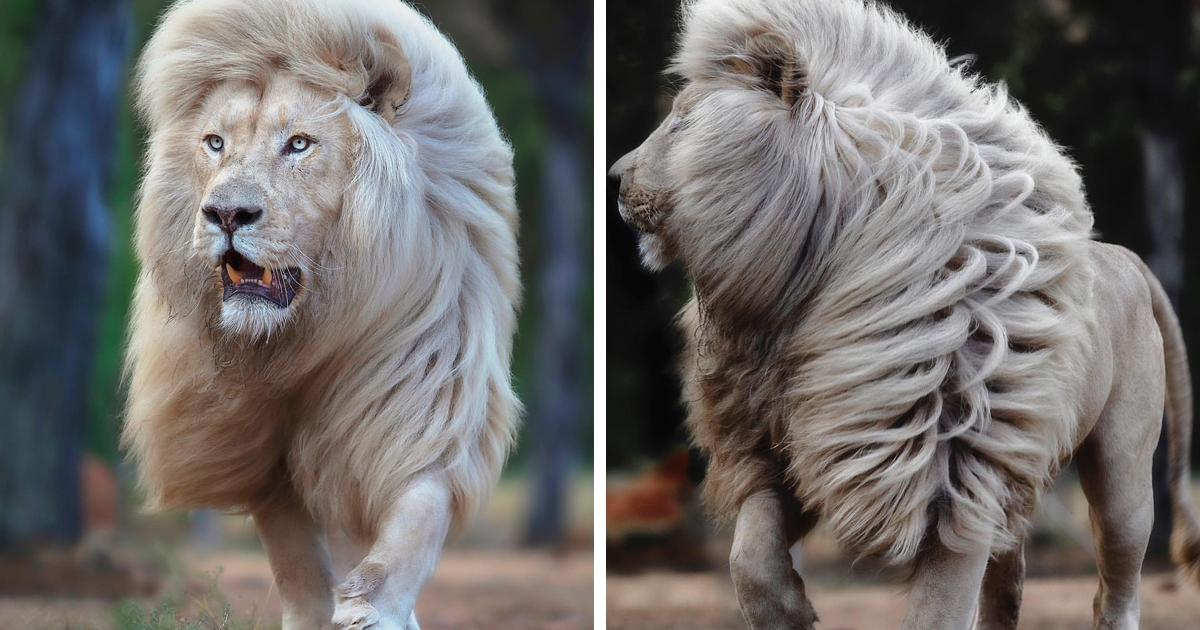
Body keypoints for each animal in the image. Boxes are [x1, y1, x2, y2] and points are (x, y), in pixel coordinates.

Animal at [121, 0, 519, 628]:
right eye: (215, 143)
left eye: (300, 144)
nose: (225, 214)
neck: (311, 332)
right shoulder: (262, 458)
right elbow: (299, 565)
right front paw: (319, 611)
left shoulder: (423, 405)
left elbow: (414, 522)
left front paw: (370, 610)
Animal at [610, 0, 1200, 628]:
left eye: (682, 122)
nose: (615, 178)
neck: (799, 295)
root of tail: (1125, 257)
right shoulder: (789, 450)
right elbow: (749, 558)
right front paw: (792, 610)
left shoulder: (952, 476)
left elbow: (935, 611)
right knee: (1009, 579)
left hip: (1120, 475)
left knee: (1116, 586)